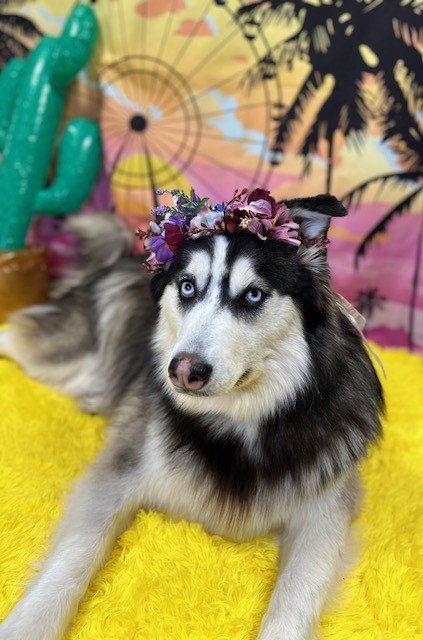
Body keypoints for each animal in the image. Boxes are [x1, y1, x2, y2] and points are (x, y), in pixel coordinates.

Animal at [0, 194, 383, 640]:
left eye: (253, 295)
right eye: (187, 287)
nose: (183, 370)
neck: (238, 422)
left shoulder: (326, 511)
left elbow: (296, 597)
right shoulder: (119, 471)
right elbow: (76, 554)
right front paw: (28, 624)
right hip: (62, 355)